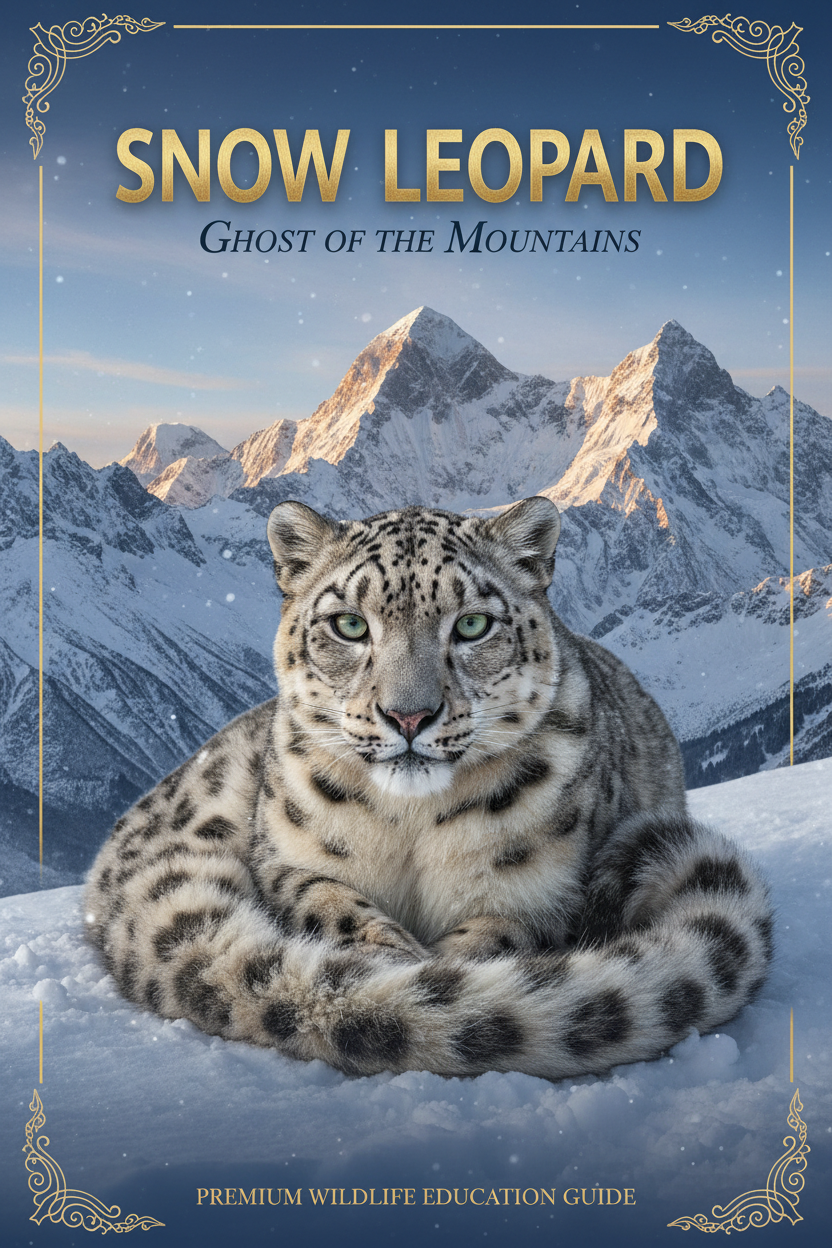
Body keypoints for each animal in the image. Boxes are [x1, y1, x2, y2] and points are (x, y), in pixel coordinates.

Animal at [84, 496, 773, 1079]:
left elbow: (490, 941)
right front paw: (389, 973)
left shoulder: (542, 893)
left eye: (471, 625)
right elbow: (330, 906)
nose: (408, 715)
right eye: (349, 625)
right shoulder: (287, 861)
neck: (409, 824)